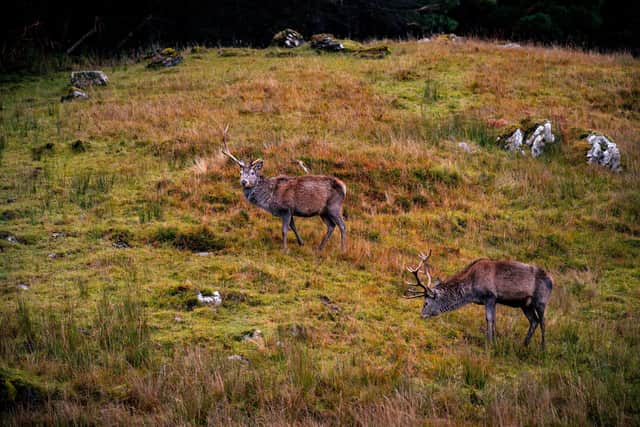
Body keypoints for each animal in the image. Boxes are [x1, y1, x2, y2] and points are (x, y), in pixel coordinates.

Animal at [403, 249, 553, 349]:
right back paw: (524, 345)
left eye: (426, 302)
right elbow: (494, 320)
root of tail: (552, 281)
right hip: (525, 304)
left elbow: (489, 319)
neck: (471, 291)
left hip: (541, 300)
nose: (422, 315)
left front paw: (489, 344)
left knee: (543, 321)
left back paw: (543, 348)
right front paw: (495, 341)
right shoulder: (494, 300)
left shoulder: (490, 296)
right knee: (534, 321)